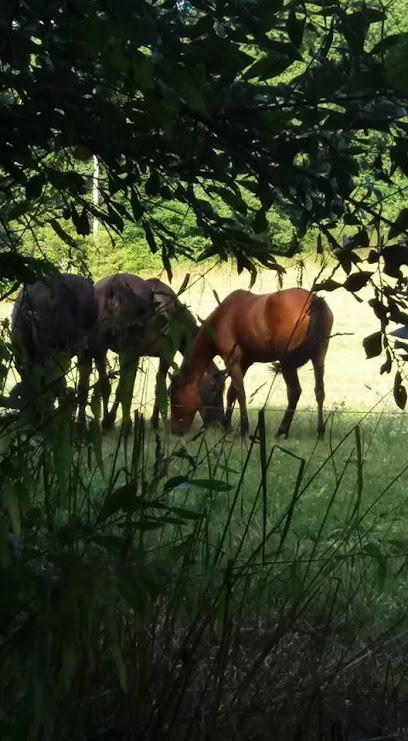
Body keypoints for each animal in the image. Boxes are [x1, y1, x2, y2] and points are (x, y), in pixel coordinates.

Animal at [86, 273, 225, 431]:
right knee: (124, 388)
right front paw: (154, 421)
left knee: (105, 385)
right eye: (216, 389)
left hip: (100, 350)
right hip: (126, 353)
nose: (220, 422)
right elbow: (158, 387)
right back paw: (123, 424)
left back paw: (106, 422)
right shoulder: (166, 354)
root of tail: (114, 285)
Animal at [170, 287, 333, 438]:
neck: (221, 319)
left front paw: (243, 429)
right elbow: (232, 393)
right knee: (319, 391)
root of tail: (314, 300)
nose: (174, 430)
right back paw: (320, 431)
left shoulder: (231, 359)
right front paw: (227, 426)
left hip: (288, 363)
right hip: (319, 357)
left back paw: (282, 430)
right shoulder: (245, 362)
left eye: (175, 397)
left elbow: (240, 392)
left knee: (294, 392)